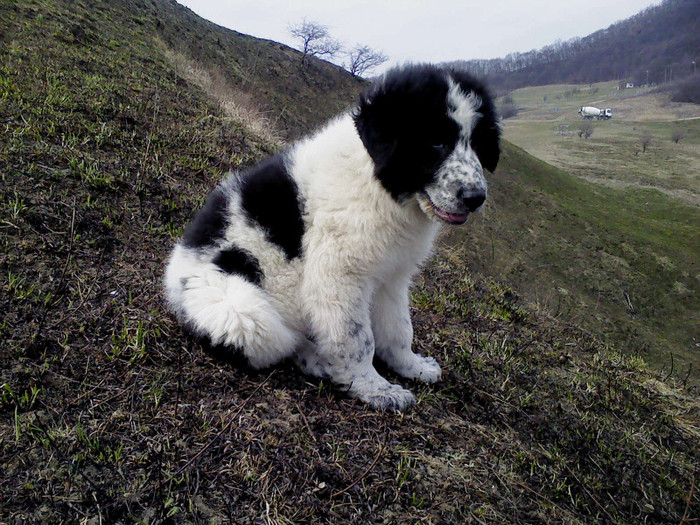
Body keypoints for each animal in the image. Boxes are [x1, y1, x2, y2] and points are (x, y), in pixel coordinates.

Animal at [166, 64, 500, 410]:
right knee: (277, 340)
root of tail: (174, 270)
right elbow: (356, 339)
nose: (475, 198)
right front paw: (374, 389)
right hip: (239, 310)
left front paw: (412, 366)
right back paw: (320, 361)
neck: (379, 183)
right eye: (435, 142)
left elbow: (398, 327)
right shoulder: (340, 275)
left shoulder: (391, 275)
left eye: (478, 144)